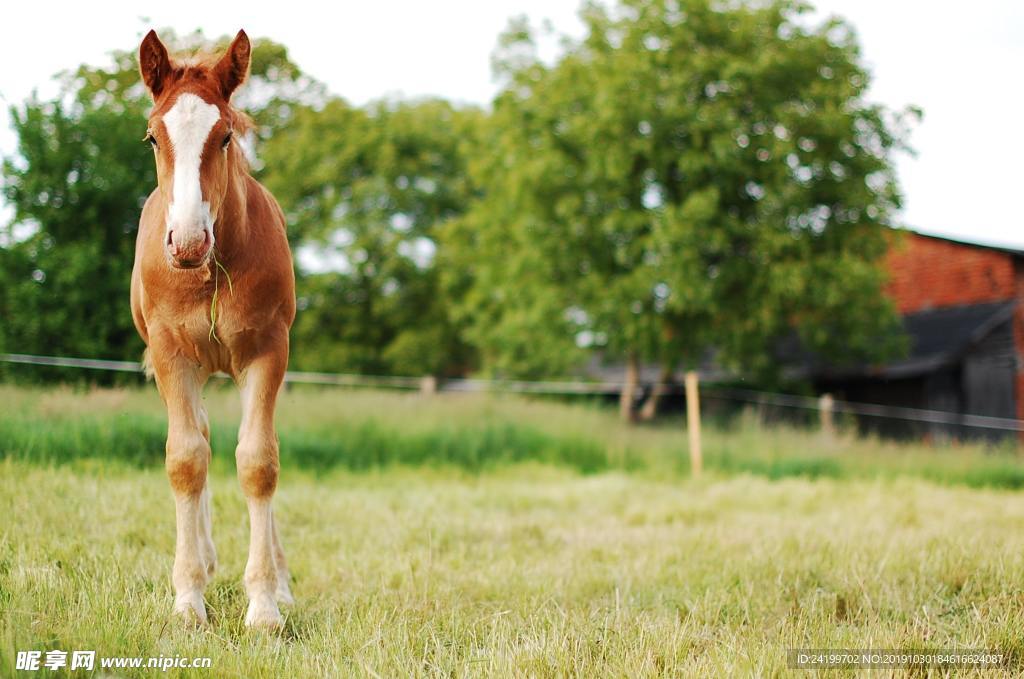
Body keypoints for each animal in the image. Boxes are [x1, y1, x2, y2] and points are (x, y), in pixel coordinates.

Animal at [130, 29, 294, 630]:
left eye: (224, 136)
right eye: (152, 137)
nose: (187, 241)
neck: (211, 271)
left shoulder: (268, 352)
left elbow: (259, 461)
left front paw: (266, 605)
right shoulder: (172, 356)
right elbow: (185, 459)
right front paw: (188, 600)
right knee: (196, 438)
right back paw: (202, 558)